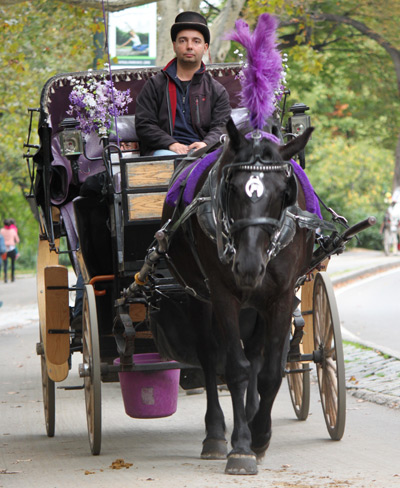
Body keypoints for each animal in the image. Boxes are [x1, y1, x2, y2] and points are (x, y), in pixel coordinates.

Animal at [159, 120, 316, 474]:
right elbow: (235, 368)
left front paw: (260, 435)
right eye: (231, 188)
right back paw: (216, 434)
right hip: (200, 298)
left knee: (256, 355)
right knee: (208, 356)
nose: (247, 266)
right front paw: (242, 447)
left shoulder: (281, 296)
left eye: (283, 192)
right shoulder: (222, 295)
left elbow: (270, 372)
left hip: (257, 305)